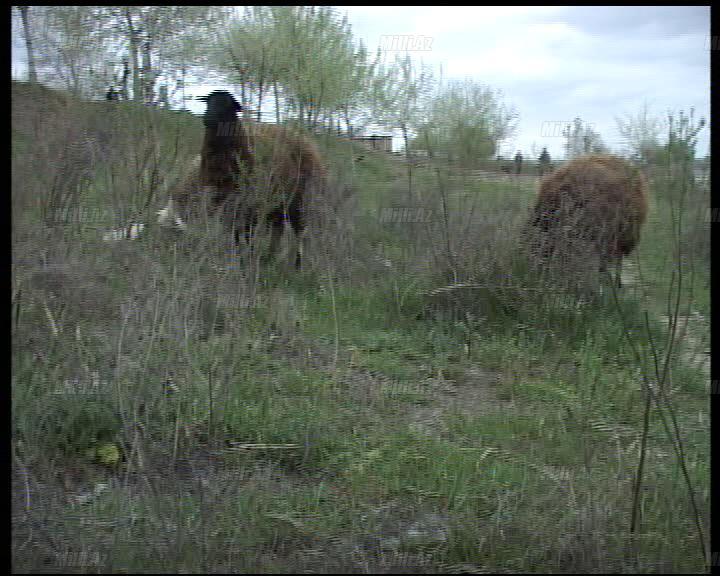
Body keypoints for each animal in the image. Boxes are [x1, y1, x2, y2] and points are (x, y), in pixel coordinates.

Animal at [160, 90, 326, 270]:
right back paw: (270, 258)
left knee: (298, 232)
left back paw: (296, 264)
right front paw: (241, 258)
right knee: (278, 229)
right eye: (208, 102)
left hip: (298, 201)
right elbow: (236, 234)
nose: (207, 118)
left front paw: (246, 260)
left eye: (227, 104)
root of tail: (303, 139)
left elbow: (245, 234)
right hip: (277, 203)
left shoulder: (247, 205)